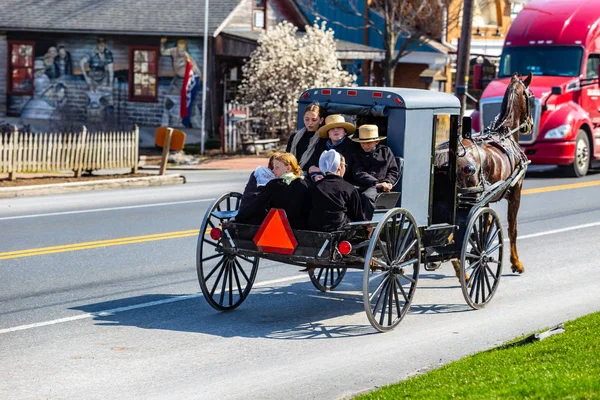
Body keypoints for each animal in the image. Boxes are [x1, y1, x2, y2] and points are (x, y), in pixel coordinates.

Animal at [452, 72, 532, 276]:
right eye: (531, 97)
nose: (529, 125)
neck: (506, 133)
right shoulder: (516, 191)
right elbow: (512, 228)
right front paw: (516, 263)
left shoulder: (485, 198)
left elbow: (485, 224)